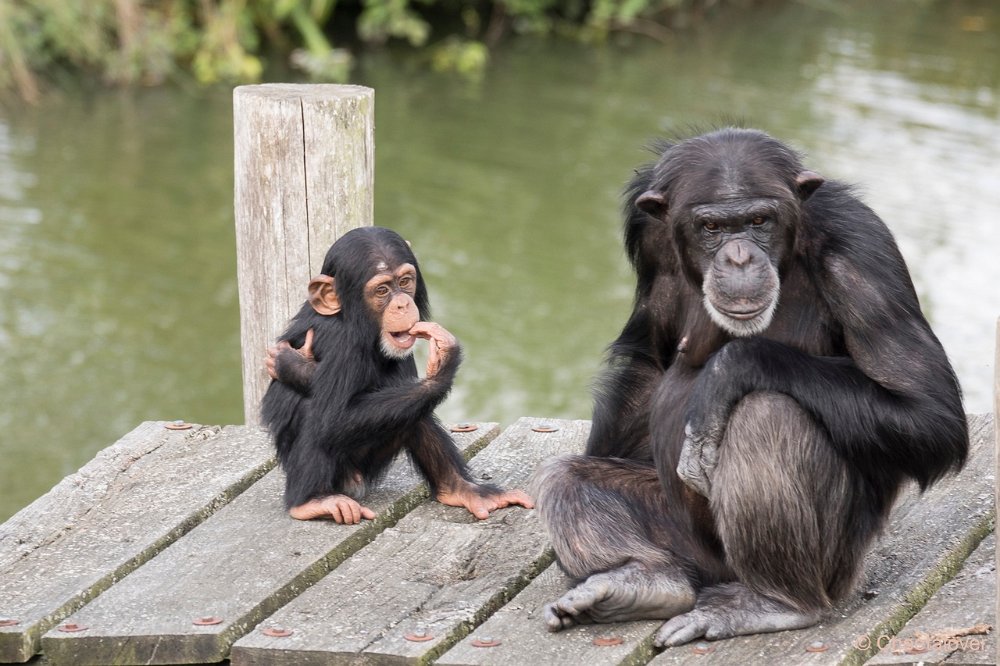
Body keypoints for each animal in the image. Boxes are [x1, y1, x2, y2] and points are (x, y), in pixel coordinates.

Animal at [262, 226, 536, 520]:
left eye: (405, 281)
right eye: (382, 290)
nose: (402, 304)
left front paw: (289, 364)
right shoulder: (344, 344)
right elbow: (332, 417)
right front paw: (444, 361)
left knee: (413, 410)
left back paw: (462, 489)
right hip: (345, 477)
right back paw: (311, 501)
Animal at [540, 128, 968, 644]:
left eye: (759, 220)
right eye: (711, 228)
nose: (739, 256)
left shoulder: (860, 250)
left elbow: (928, 411)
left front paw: (728, 371)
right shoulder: (650, 238)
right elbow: (649, 361)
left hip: (836, 566)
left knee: (766, 414)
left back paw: (776, 602)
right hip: (691, 548)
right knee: (565, 479)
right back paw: (641, 582)